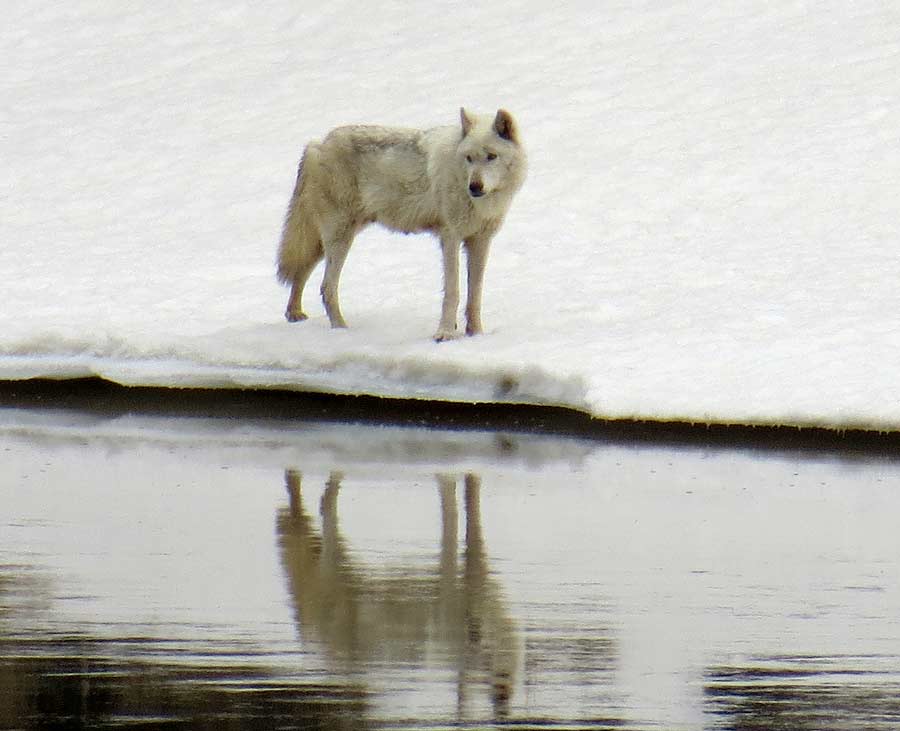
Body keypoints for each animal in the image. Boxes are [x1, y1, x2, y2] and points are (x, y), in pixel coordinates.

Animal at [276, 108, 528, 340]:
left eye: (491, 156)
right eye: (469, 158)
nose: (474, 187)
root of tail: (317, 144)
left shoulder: (480, 242)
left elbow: (475, 294)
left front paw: (476, 334)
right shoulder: (450, 238)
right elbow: (453, 292)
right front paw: (445, 334)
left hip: (328, 240)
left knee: (302, 270)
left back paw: (294, 314)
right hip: (340, 238)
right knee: (326, 287)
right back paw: (342, 331)